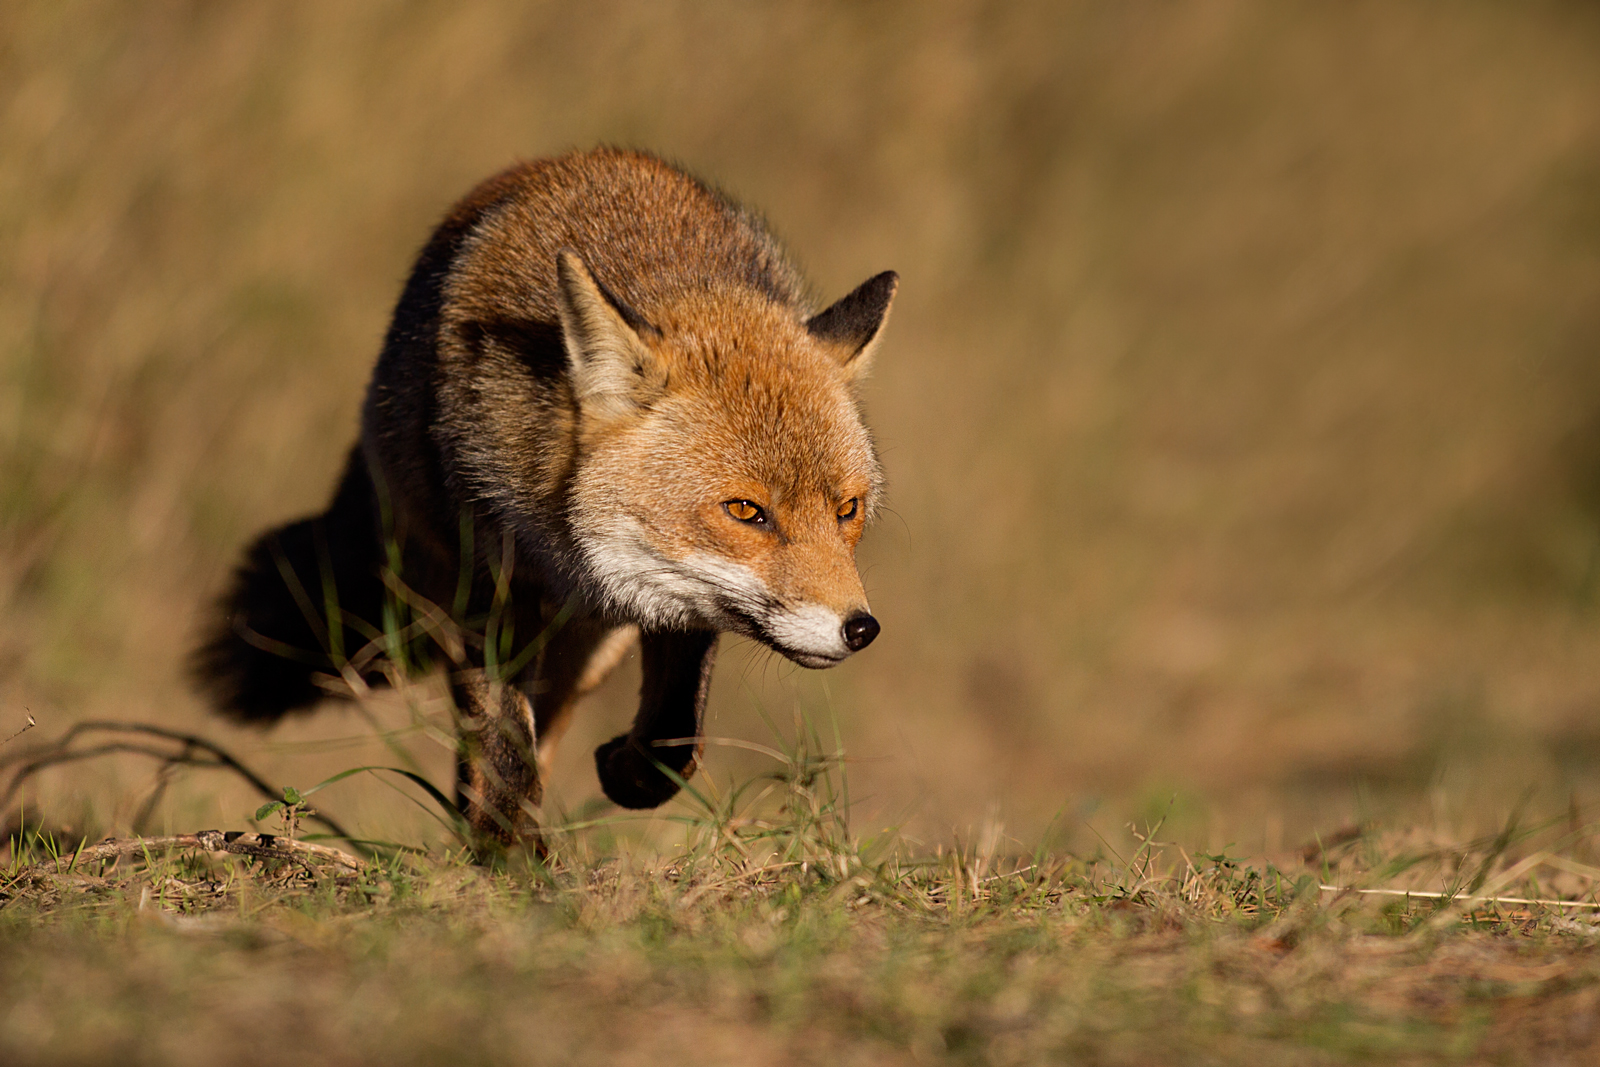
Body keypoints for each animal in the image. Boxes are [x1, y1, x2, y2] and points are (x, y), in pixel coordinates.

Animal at [192, 147, 896, 851]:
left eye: (847, 510)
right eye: (747, 511)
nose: (860, 628)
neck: (559, 548)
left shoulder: (679, 604)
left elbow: (675, 733)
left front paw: (627, 774)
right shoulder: (483, 591)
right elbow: (503, 746)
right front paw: (510, 857)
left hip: (586, 652)